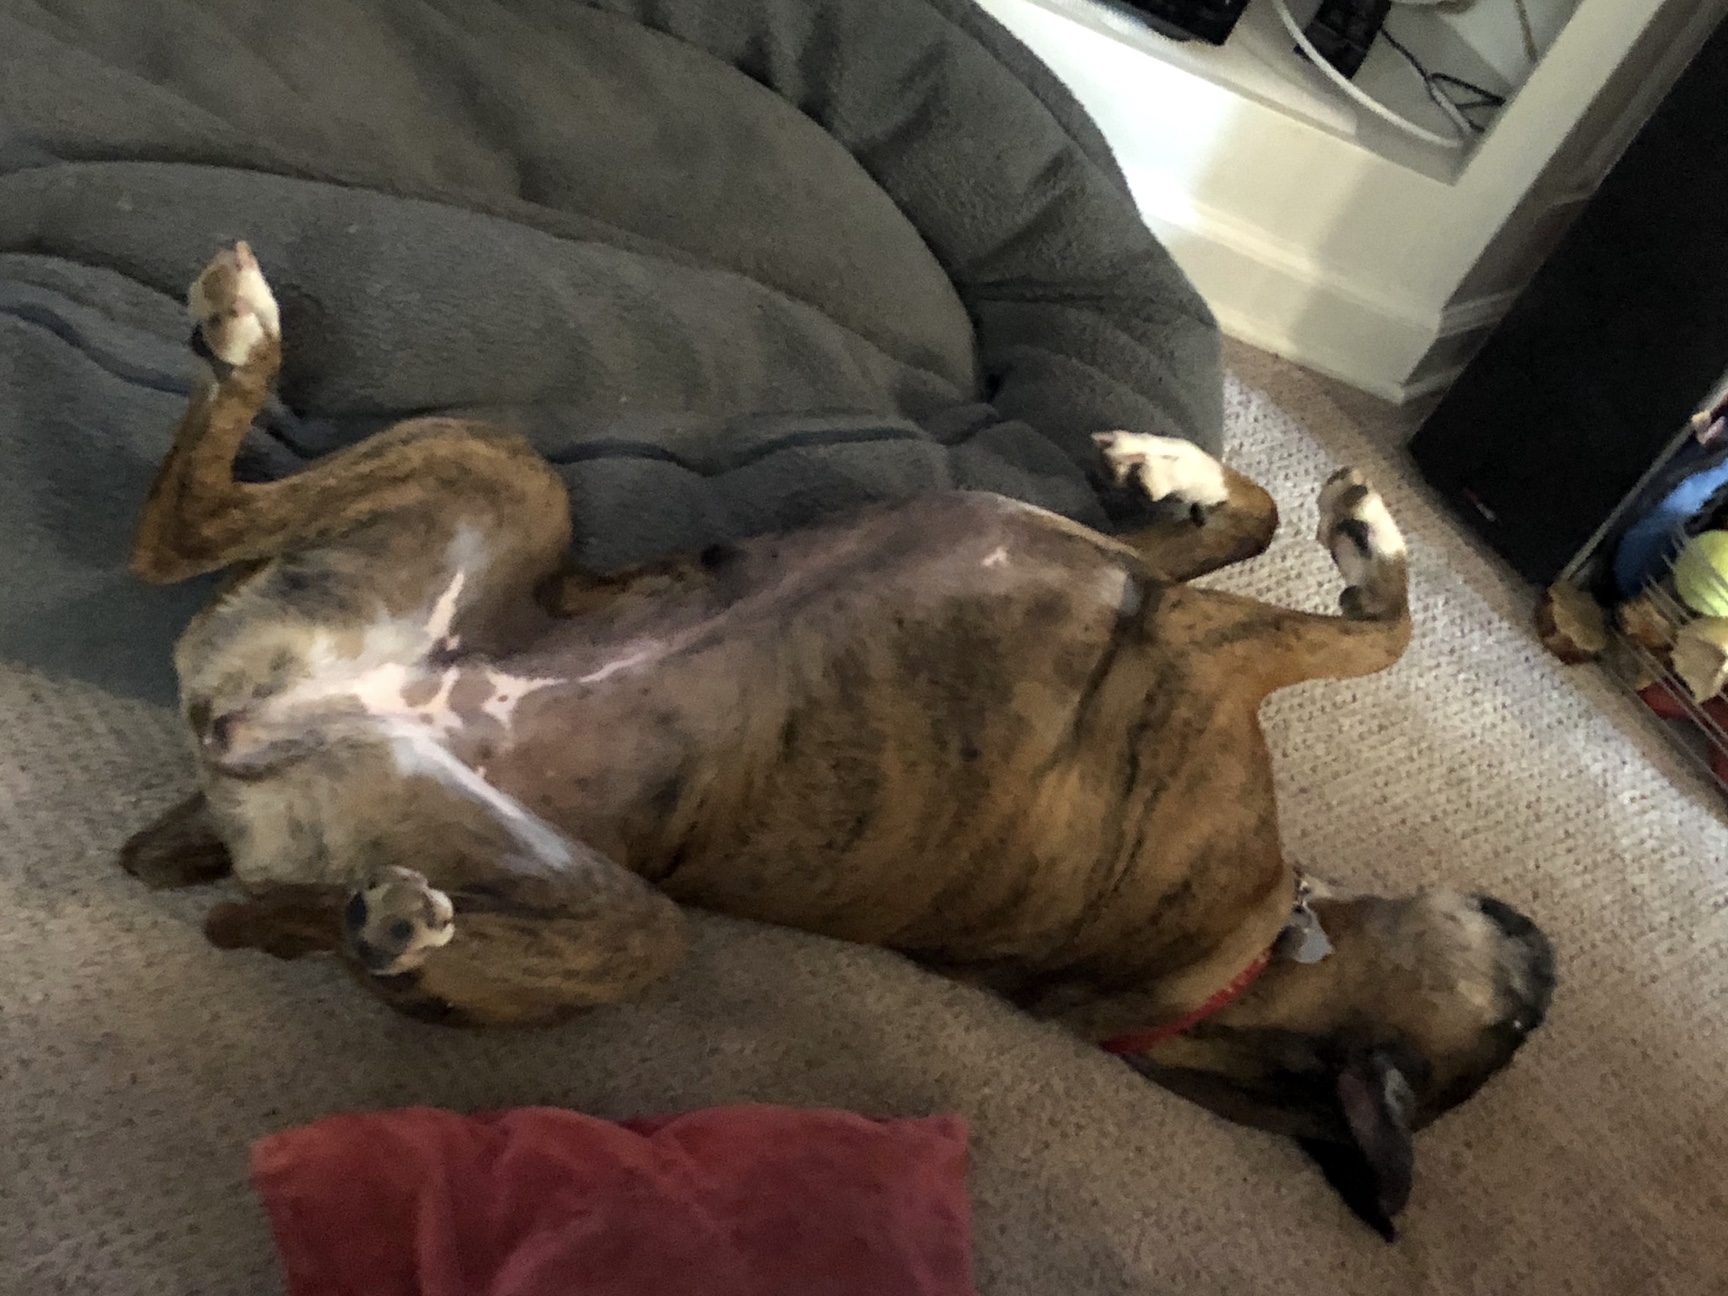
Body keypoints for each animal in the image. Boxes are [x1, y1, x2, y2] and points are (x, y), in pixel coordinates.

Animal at [121, 244, 1554, 1239]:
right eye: (1521, 1022)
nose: (1544, 952)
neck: (1247, 972)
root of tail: (248, 730)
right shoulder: (1163, 596)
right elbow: (1245, 526)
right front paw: (1182, 466)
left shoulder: (1208, 650)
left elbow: (1386, 633)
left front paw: (1365, 536)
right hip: (499, 478)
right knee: (186, 572)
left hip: (619, 916)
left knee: (274, 881)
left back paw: (389, 922)